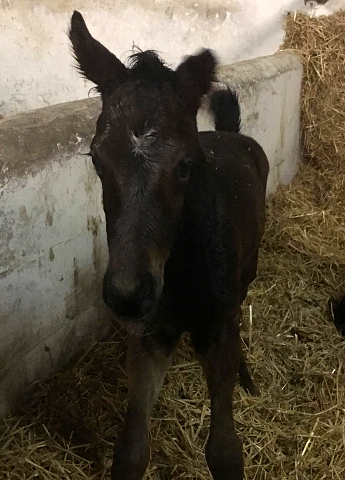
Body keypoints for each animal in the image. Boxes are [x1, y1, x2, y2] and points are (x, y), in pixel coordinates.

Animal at [69, 10, 268, 476]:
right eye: (96, 158)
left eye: (185, 165)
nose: (127, 294)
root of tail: (233, 134)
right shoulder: (150, 335)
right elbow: (131, 450)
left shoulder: (216, 330)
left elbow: (225, 450)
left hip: (248, 271)